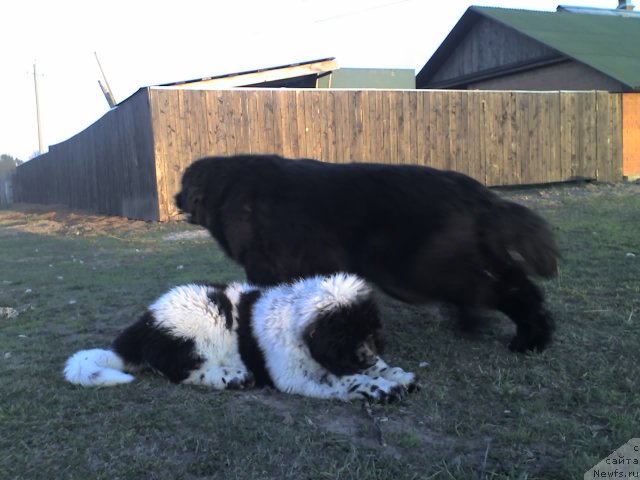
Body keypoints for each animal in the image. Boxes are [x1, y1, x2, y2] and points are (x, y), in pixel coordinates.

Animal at [63, 272, 416, 404]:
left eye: (371, 333)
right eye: (344, 335)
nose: (366, 355)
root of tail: (143, 324)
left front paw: (394, 374)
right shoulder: (292, 376)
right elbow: (341, 380)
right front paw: (377, 387)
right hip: (201, 322)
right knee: (183, 370)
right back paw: (232, 377)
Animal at [175, 154, 560, 352]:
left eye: (182, 184)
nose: (176, 198)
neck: (227, 188)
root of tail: (480, 195)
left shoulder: (264, 267)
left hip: (424, 270)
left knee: (493, 291)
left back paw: (503, 333)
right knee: (518, 289)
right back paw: (529, 338)